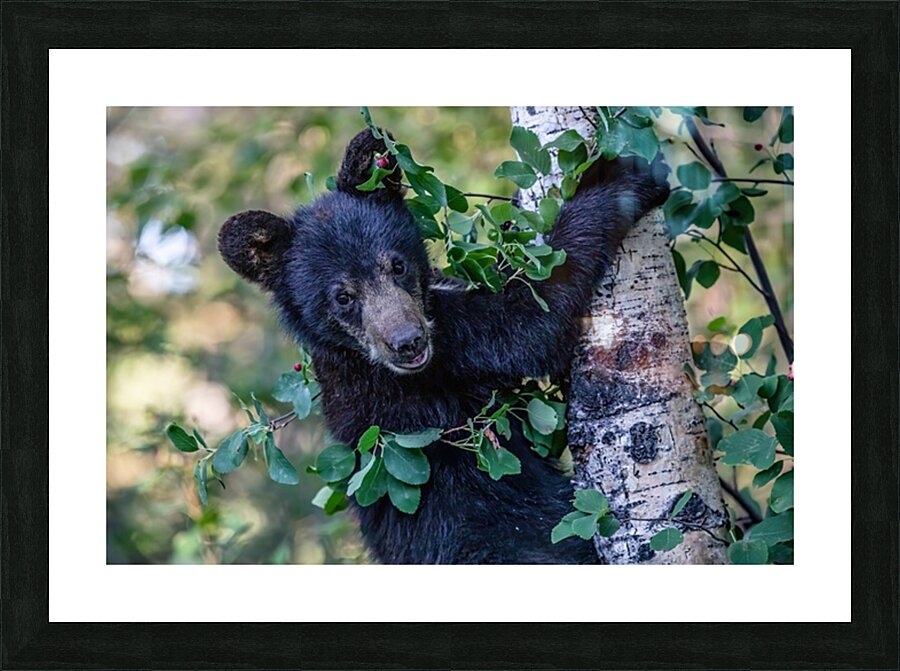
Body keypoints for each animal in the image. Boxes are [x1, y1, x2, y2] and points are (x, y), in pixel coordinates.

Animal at [218, 127, 669, 564]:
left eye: (397, 265)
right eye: (342, 296)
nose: (407, 342)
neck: (357, 359)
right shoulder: (448, 355)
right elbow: (528, 324)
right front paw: (620, 179)